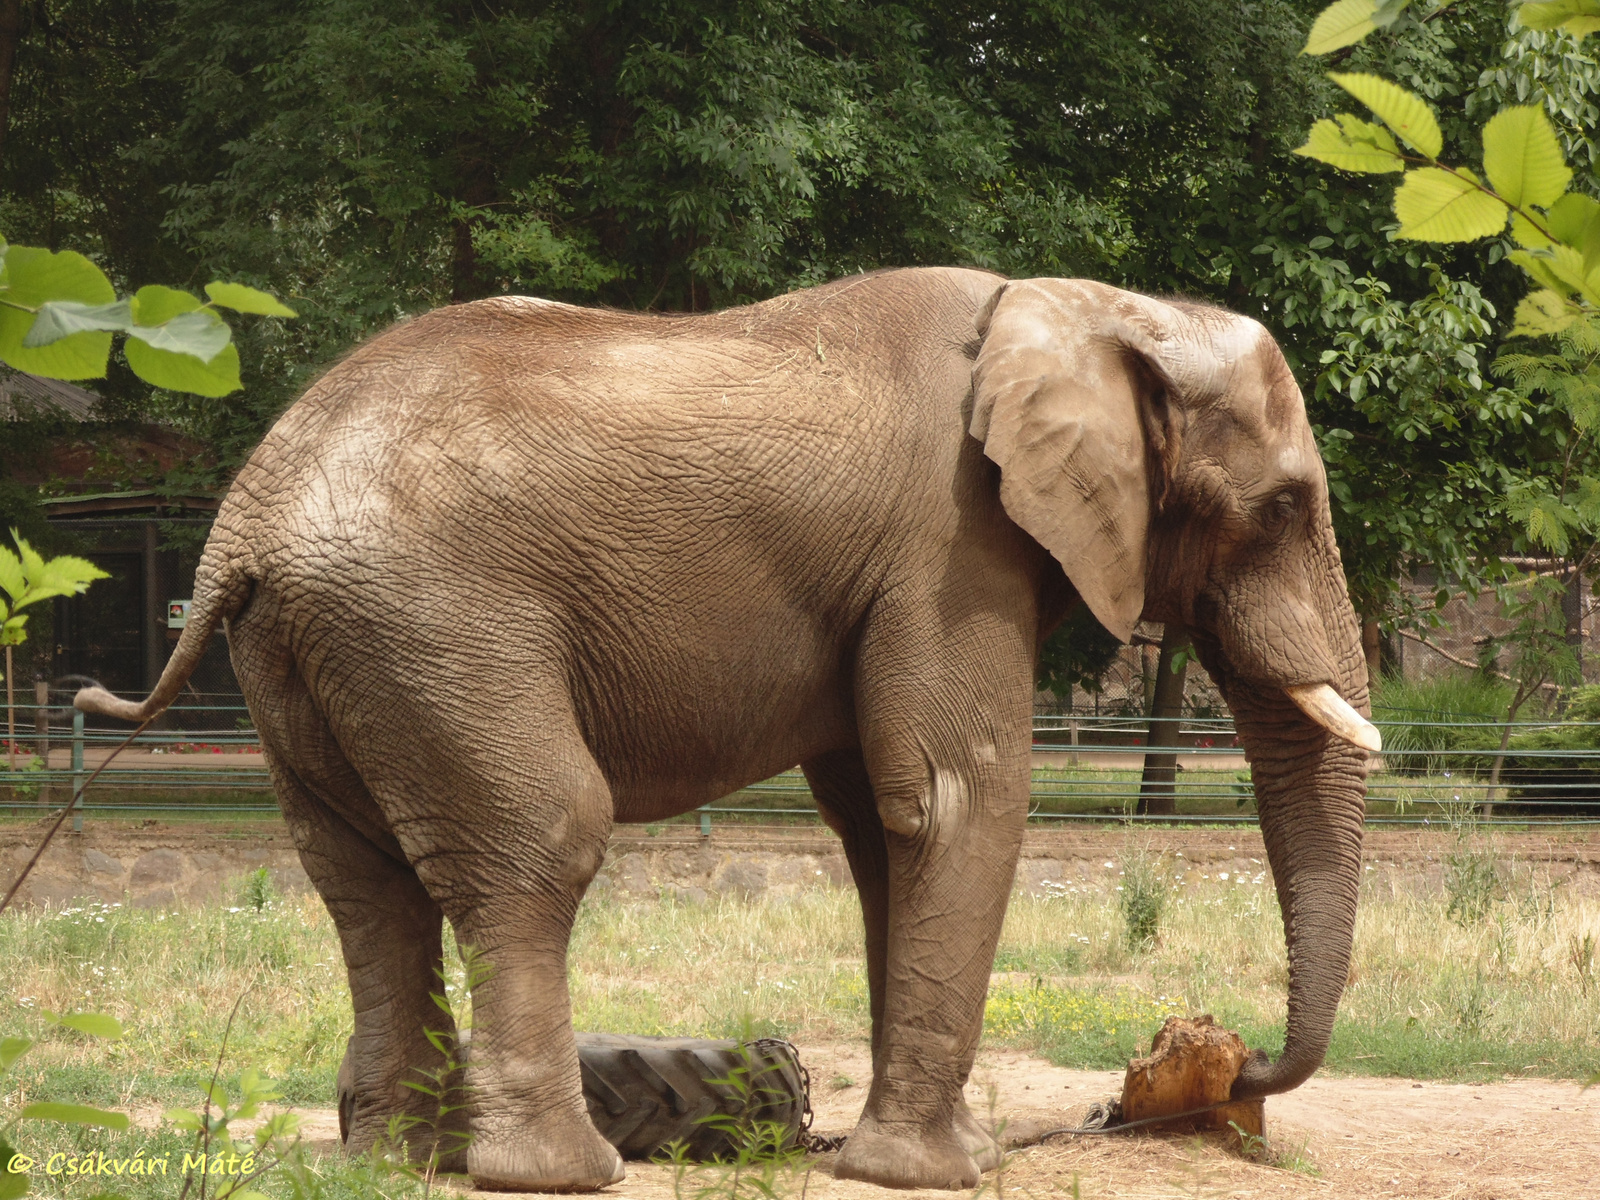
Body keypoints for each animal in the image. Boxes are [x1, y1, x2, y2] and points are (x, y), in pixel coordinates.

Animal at [78, 270, 1376, 1196]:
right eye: (1281, 508)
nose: (1219, 1066)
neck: (1093, 306)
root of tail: (240, 527)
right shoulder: (950, 546)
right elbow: (955, 797)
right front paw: (947, 1175)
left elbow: (878, 822)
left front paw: (928, 1160)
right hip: (433, 623)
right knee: (541, 840)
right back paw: (559, 1174)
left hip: (314, 654)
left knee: (360, 877)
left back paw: (406, 1162)